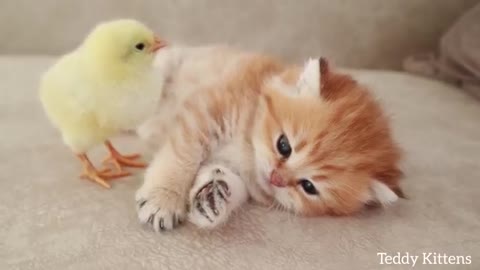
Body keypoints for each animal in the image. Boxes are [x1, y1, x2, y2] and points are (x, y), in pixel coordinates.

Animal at [137, 46, 404, 230]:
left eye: (308, 187)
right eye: (283, 145)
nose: (276, 179)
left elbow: (230, 182)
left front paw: (211, 197)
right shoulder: (205, 114)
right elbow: (182, 156)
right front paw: (163, 199)